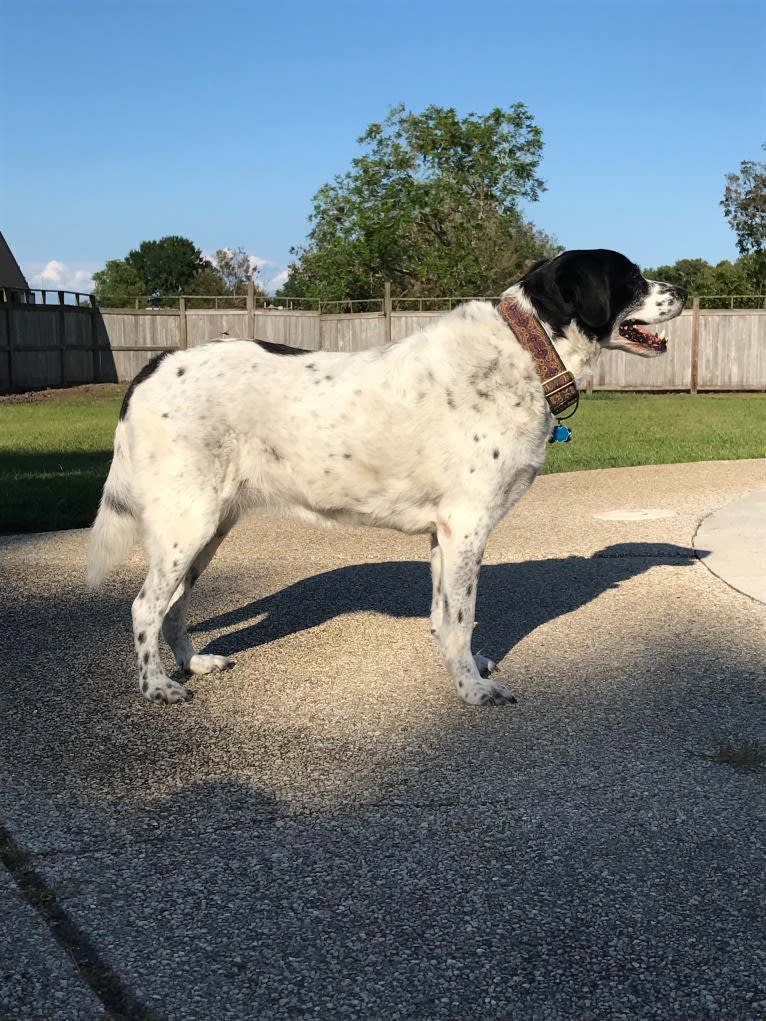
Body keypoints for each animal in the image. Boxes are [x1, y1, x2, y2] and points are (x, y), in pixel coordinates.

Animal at [86, 251, 686, 706]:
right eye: (631, 278)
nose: (682, 288)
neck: (526, 349)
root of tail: (154, 365)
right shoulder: (466, 526)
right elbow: (461, 617)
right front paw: (473, 690)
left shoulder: (444, 534)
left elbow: (445, 618)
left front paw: (467, 670)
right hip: (186, 523)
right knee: (146, 606)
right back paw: (157, 686)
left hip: (206, 530)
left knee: (174, 607)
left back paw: (192, 663)